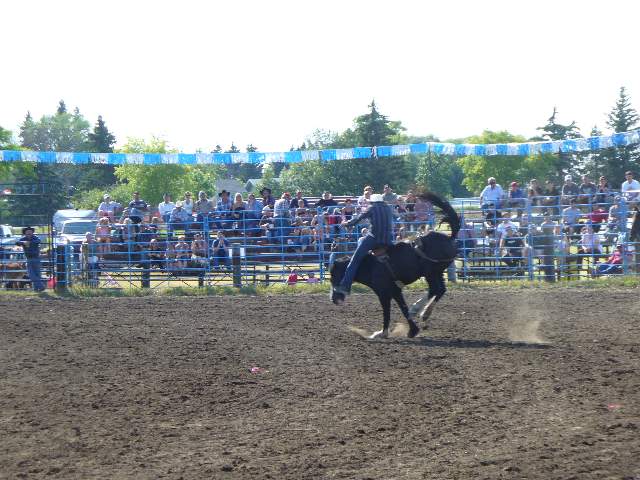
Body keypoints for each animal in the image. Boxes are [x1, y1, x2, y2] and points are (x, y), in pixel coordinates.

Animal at [330, 189, 460, 340]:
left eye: (333, 276)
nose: (334, 299)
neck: (370, 265)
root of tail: (450, 238)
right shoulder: (395, 291)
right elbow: (403, 308)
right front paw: (412, 330)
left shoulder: (383, 292)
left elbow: (387, 312)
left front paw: (381, 333)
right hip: (437, 272)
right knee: (441, 290)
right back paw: (423, 313)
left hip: (431, 272)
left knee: (435, 289)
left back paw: (419, 310)